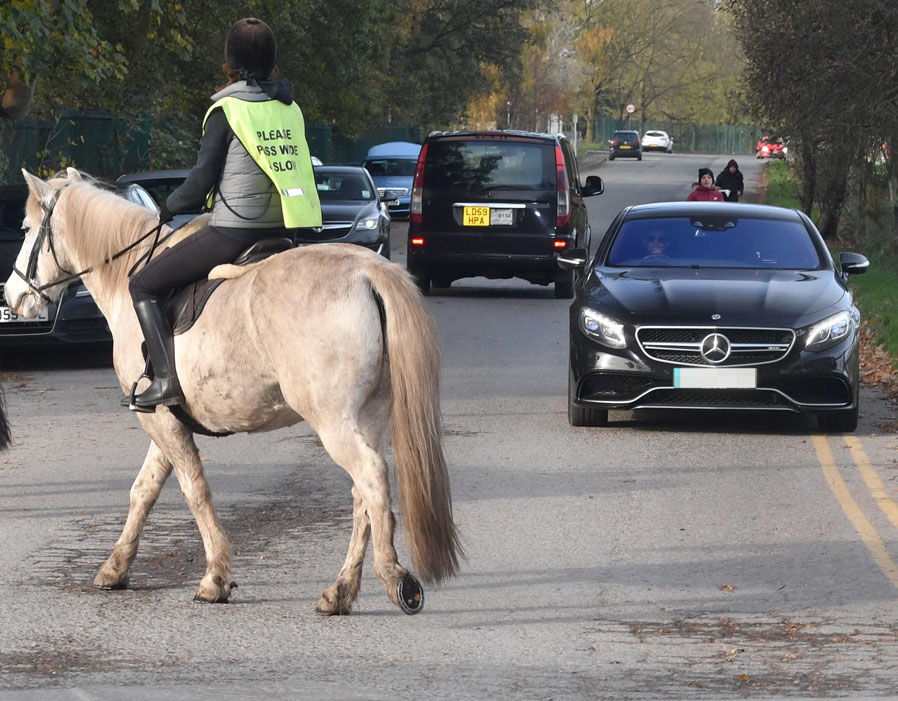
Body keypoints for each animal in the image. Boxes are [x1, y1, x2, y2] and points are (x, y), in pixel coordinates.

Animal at [8, 170, 462, 612]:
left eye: (27, 229)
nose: (12, 296)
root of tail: (367, 270)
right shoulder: (165, 417)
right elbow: (144, 490)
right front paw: (116, 567)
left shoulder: (159, 421)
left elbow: (194, 490)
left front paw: (215, 578)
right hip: (370, 415)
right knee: (363, 495)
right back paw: (341, 591)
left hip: (333, 422)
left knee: (370, 477)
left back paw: (394, 577)